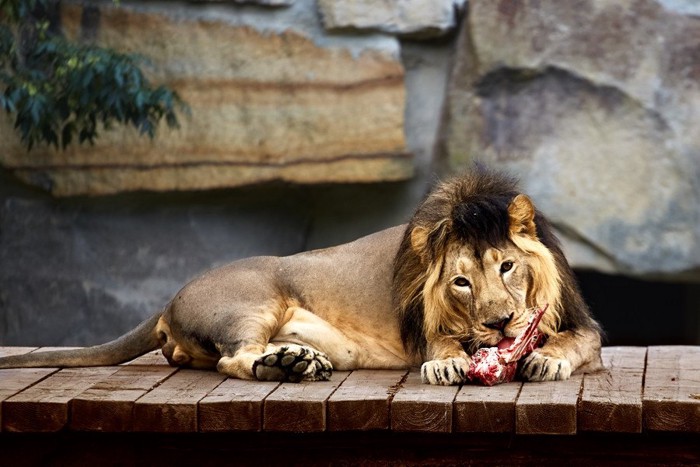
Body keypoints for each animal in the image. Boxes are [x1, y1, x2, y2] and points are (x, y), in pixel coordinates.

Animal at [0, 166, 600, 386]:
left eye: (507, 266)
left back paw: (297, 359)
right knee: (233, 359)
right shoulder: (424, 328)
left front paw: (547, 357)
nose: (500, 325)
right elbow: (442, 344)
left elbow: (573, 342)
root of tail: (170, 299)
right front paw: (449, 362)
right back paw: (286, 365)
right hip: (253, 300)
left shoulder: (585, 326)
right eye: (461, 282)